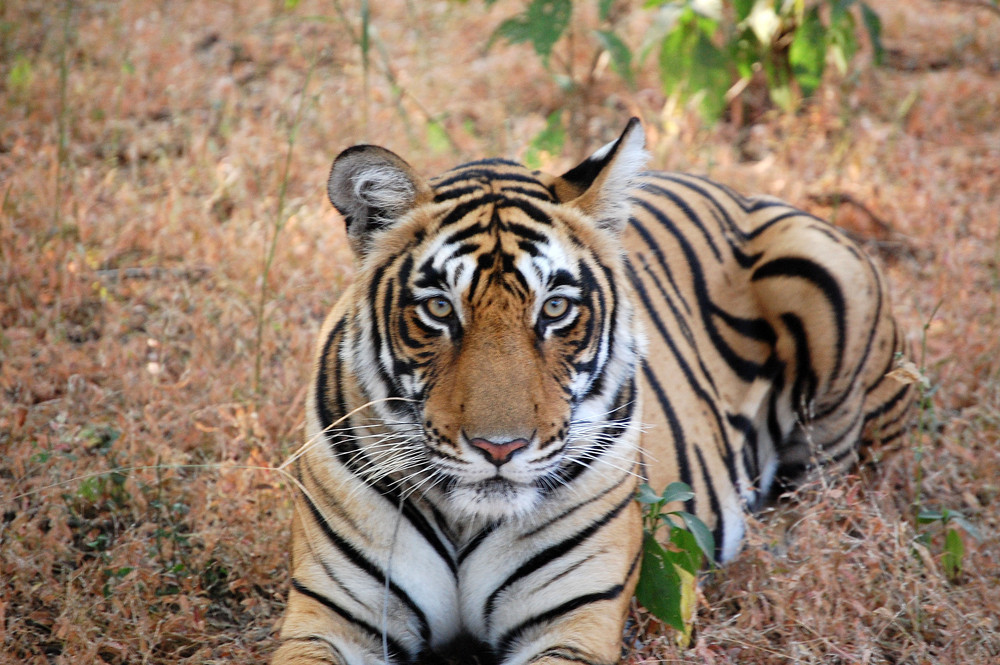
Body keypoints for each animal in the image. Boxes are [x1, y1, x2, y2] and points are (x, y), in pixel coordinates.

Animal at [274, 118, 916, 664]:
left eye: (555, 309)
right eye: (439, 309)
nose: (500, 449)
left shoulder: (572, 621)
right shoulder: (331, 617)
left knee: (843, 487)